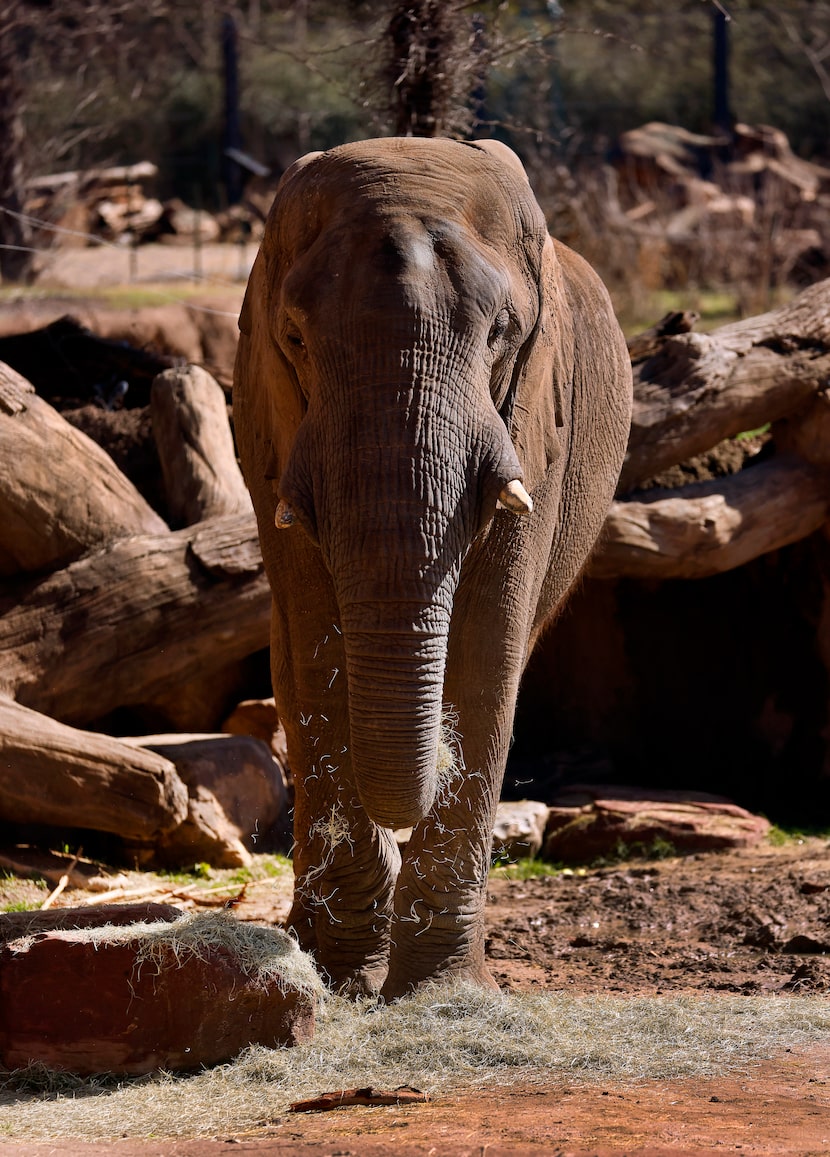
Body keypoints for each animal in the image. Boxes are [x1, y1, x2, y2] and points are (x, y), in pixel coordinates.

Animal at [232, 135, 629, 999]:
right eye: (295, 338)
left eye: (501, 334)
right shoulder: (270, 429)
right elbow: (314, 646)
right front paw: (335, 974)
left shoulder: (537, 425)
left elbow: (486, 652)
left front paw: (442, 992)